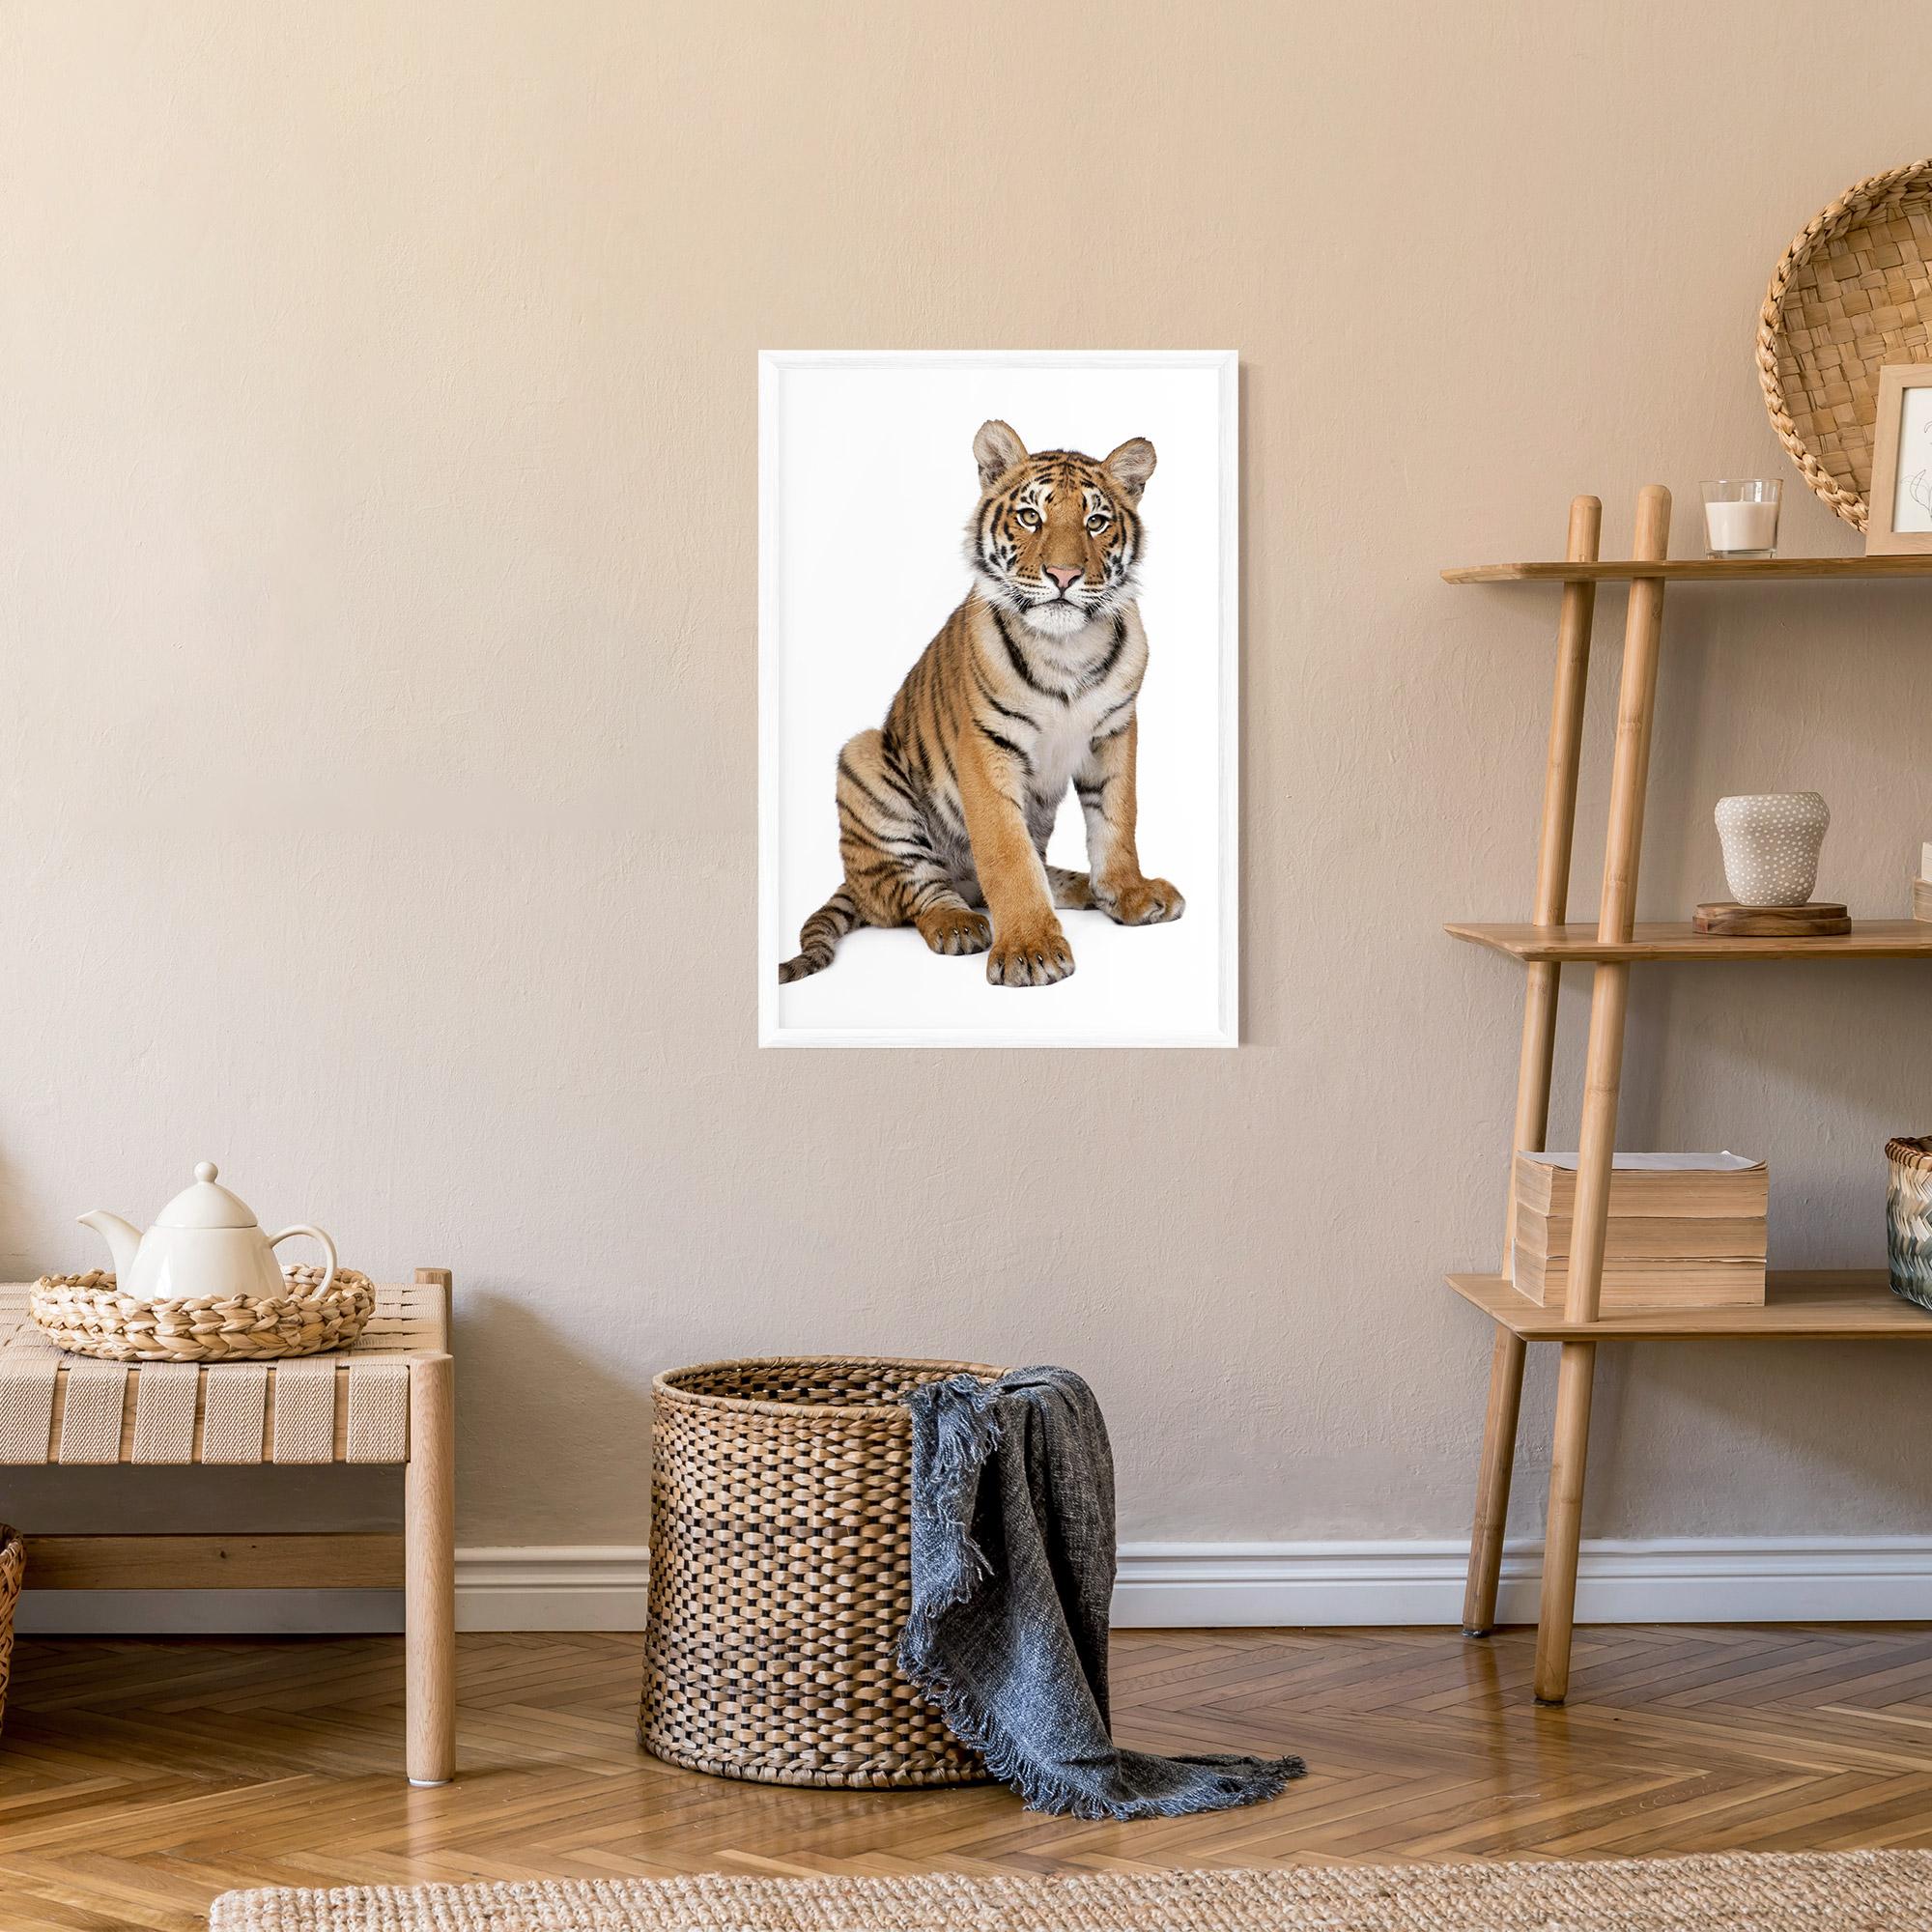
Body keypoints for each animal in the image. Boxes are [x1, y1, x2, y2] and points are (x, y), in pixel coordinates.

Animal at [778, 419, 1184, 989]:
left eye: (1096, 521)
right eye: (1031, 517)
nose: (1064, 576)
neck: (1066, 647)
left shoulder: (1114, 732)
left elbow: (1117, 821)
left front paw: (1128, 893)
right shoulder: (987, 746)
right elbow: (1007, 855)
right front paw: (1031, 950)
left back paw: (1081, 888)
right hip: (863, 760)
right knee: (916, 893)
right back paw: (959, 924)